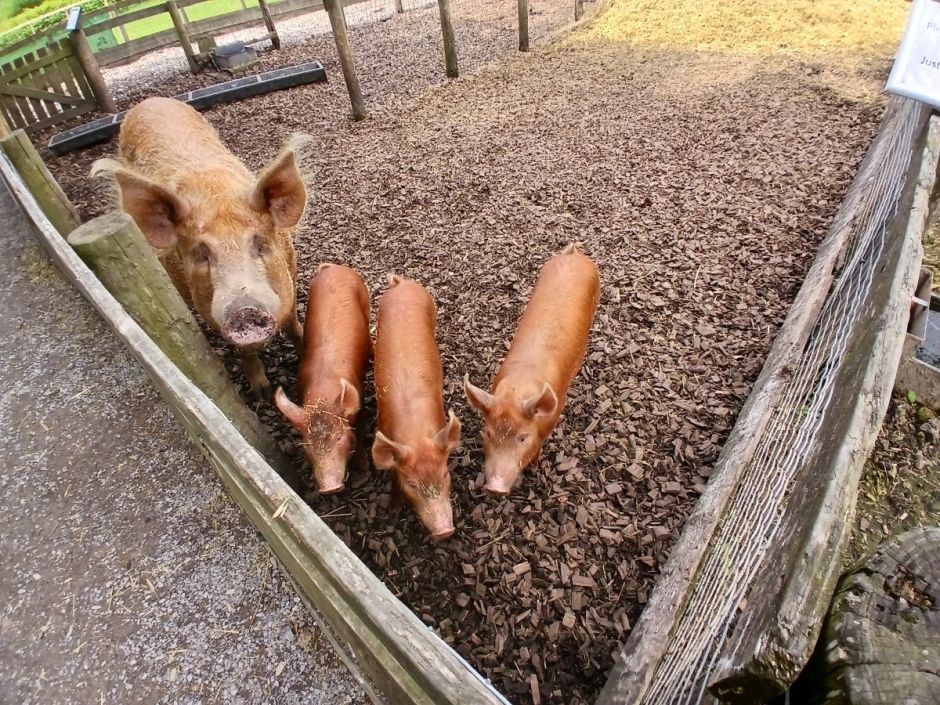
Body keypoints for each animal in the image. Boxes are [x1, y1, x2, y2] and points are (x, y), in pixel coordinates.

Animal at [91, 96, 309, 394]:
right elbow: (243, 351)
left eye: (260, 243)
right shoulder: (211, 314)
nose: (244, 308)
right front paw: (261, 391)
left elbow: (294, 325)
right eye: (201, 254)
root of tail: (149, 101)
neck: (214, 194)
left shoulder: (292, 275)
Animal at [274, 263, 371, 494]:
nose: (329, 488)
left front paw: (363, 467)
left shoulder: (360, 403)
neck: (323, 396)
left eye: (338, 437)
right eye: (308, 446)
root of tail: (333, 267)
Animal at [371, 275, 462, 540]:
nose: (445, 530)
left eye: (445, 474)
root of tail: (401, 284)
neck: (416, 434)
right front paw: (392, 512)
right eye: (412, 484)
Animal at [463, 244, 600, 495]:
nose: (495, 487)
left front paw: (535, 468)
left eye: (523, 438)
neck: (517, 389)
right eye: (487, 433)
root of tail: (573, 254)